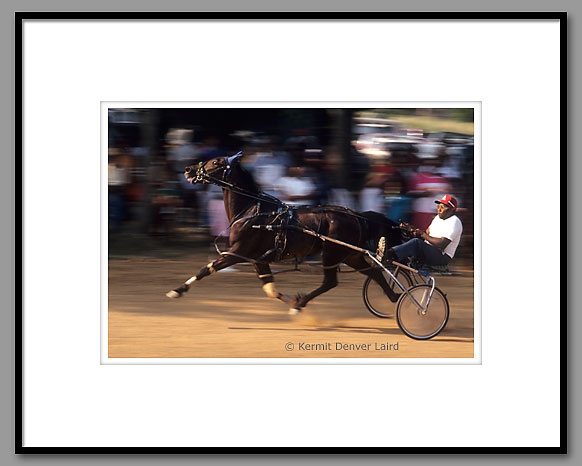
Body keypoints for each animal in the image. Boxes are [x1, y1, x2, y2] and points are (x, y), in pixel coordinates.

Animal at [168, 153, 406, 314]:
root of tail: (355, 214)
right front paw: (290, 300)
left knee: (331, 282)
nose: (188, 169)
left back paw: (301, 303)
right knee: (373, 272)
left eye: (216, 162)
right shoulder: (257, 259)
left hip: (332, 254)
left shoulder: (237, 252)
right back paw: (394, 296)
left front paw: (177, 290)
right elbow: (270, 289)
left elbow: (206, 269)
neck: (252, 210)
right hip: (350, 254)